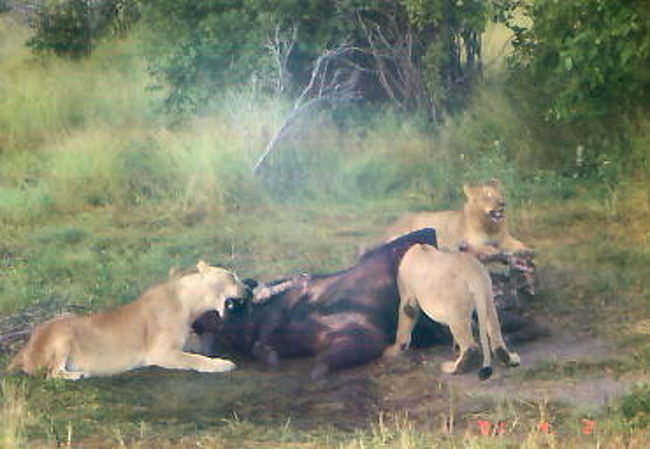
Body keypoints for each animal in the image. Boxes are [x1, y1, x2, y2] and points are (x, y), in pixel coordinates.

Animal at [7, 260, 248, 378]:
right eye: (232, 276)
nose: (247, 289)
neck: (190, 303)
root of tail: (24, 349)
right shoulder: (160, 352)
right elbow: (195, 360)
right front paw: (223, 364)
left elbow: (198, 348)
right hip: (63, 334)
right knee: (51, 373)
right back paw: (79, 375)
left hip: (66, 313)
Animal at [388, 243, 520, 380]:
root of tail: (475, 274)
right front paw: (455, 347)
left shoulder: (407, 295)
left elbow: (406, 318)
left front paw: (396, 348)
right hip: (487, 299)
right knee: (494, 331)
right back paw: (511, 359)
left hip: (455, 309)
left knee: (470, 347)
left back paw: (452, 368)